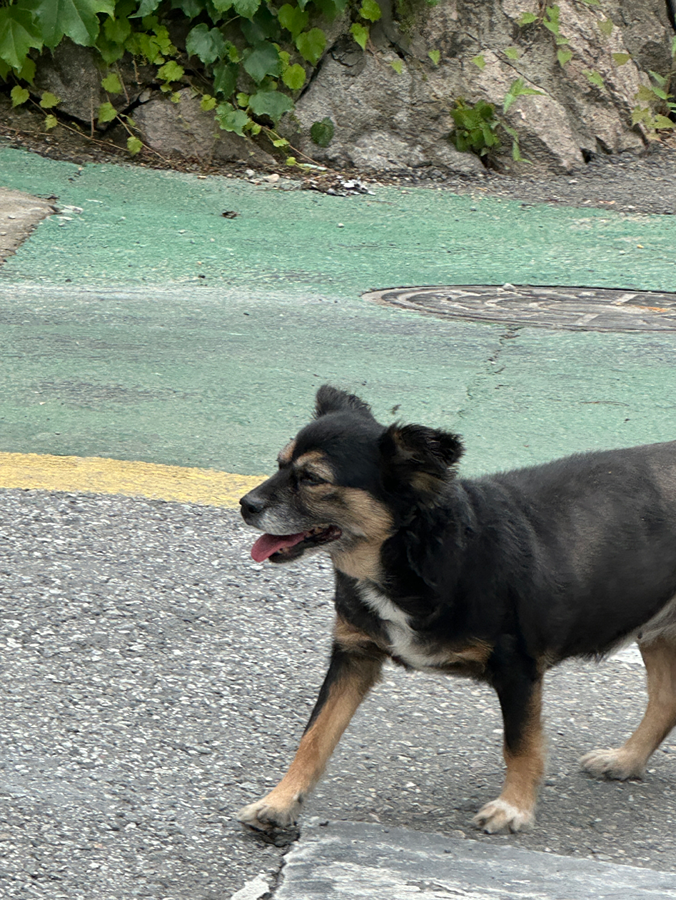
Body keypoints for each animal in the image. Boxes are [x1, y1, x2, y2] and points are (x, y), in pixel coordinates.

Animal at [239, 386, 676, 836]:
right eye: (279, 464)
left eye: (312, 479)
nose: (245, 504)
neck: (414, 555)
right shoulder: (354, 654)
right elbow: (314, 736)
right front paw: (280, 800)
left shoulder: (517, 668)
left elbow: (520, 744)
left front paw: (514, 807)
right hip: (658, 631)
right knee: (666, 701)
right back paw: (626, 760)